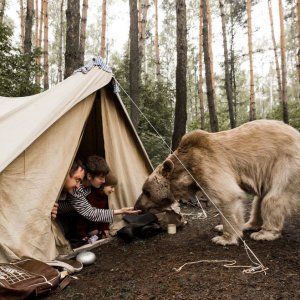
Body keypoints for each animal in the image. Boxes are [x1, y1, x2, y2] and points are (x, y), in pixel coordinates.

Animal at [135, 119, 300, 246]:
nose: (137, 207)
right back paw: (248, 225)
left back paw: (264, 233)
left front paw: (223, 238)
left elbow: (226, 197)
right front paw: (221, 227)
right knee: (259, 200)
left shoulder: (206, 164)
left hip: (286, 164)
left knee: (273, 198)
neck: (186, 168)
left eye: (145, 191)